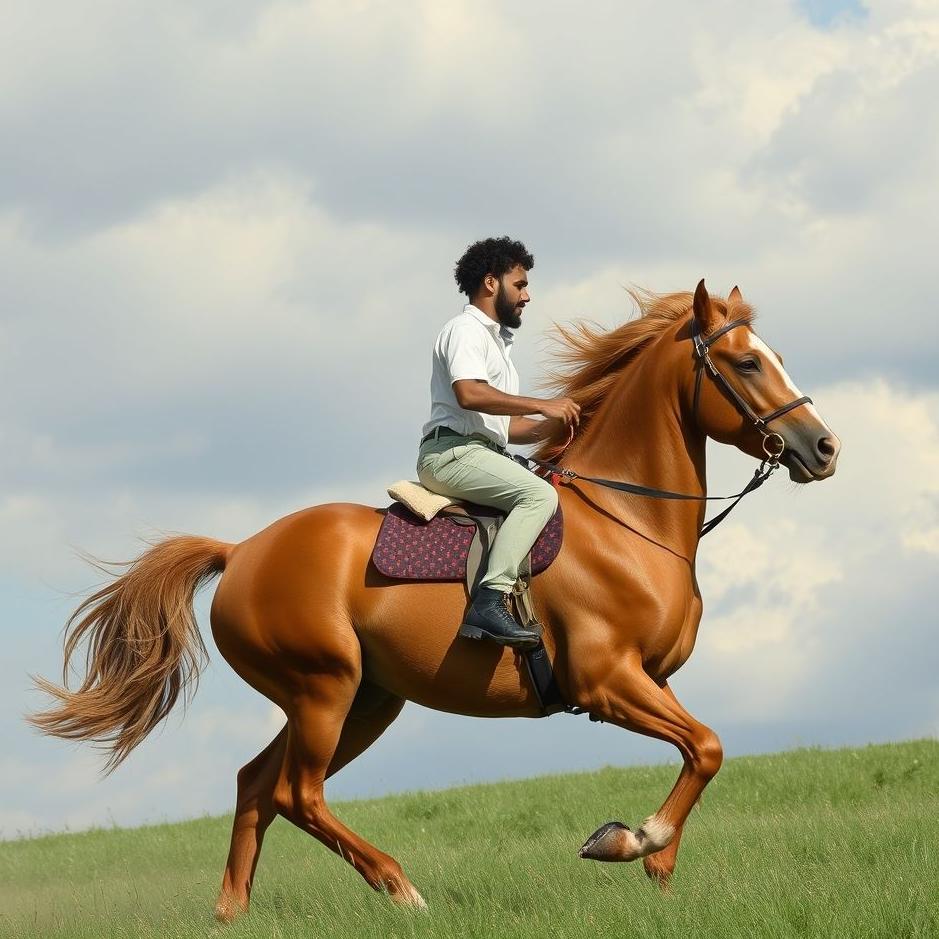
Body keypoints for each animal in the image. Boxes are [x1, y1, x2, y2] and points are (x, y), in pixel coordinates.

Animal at [30, 280, 840, 921]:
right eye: (746, 362)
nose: (824, 448)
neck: (627, 518)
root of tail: (241, 551)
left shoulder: (652, 680)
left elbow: (699, 752)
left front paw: (654, 865)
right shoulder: (607, 681)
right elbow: (708, 746)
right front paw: (632, 840)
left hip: (364, 699)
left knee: (256, 784)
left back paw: (232, 912)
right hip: (325, 688)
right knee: (297, 793)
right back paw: (400, 888)